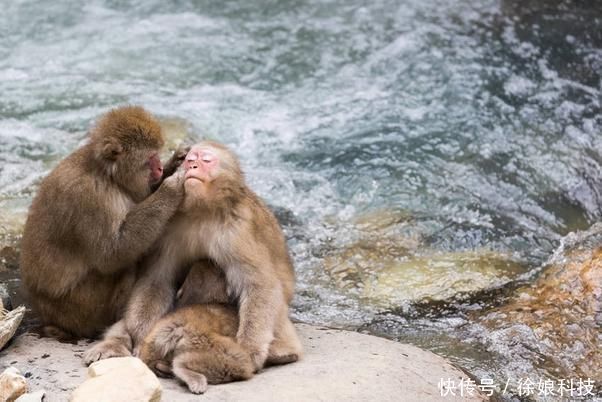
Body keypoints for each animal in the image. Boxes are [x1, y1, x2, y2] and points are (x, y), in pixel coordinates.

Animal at [19, 106, 184, 340]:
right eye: (151, 158)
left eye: (157, 156)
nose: (160, 168)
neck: (107, 175)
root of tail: (49, 316)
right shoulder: (89, 198)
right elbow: (112, 254)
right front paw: (170, 188)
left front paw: (174, 164)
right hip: (82, 310)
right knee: (125, 264)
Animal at [86, 141, 302, 386]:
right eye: (190, 159)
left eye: (206, 160)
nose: (193, 166)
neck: (203, 210)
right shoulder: (169, 228)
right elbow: (157, 280)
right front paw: (141, 338)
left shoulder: (238, 231)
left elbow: (260, 286)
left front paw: (251, 350)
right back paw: (113, 345)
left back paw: (282, 353)